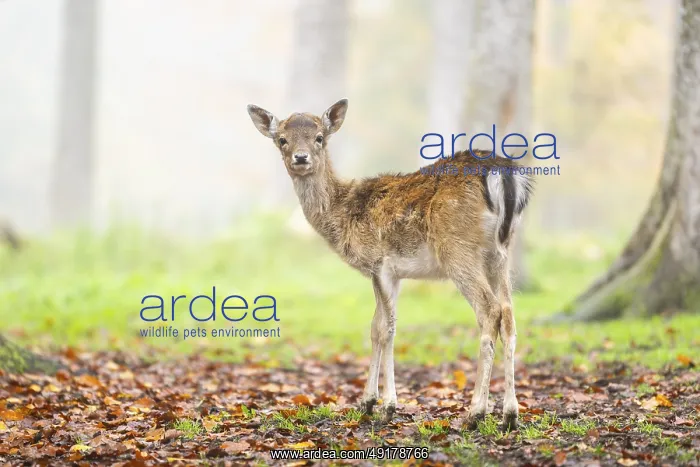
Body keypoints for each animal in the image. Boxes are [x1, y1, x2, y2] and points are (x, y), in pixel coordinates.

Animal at [247, 99, 533, 430]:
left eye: (319, 137)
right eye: (282, 139)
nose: (301, 157)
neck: (344, 214)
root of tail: (504, 176)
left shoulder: (379, 263)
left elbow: (387, 329)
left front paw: (387, 407)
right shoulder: (392, 274)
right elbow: (374, 327)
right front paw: (367, 402)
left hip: (457, 249)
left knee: (490, 311)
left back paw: (475, 413)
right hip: (500, 252)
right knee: (509, 315)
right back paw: (510, 415)